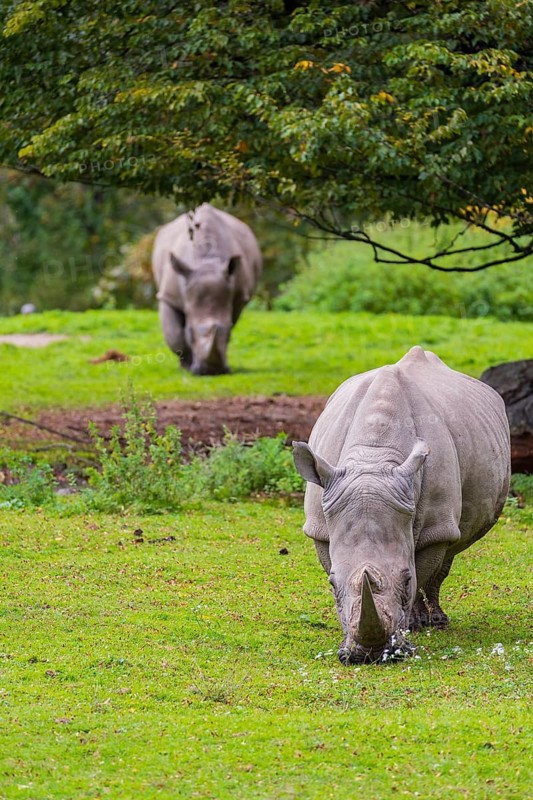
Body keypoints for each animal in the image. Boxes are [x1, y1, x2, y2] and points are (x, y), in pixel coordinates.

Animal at [152, 204, 262, 375]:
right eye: (190, 331)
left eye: (228, 332)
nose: (212, 371)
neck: (207, 265)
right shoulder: (169, 296)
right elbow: (175, 335)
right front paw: (186, 366)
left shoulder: (238, 297)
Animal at [293, 347, 510, 664]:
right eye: (332, 585)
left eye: (405, 581)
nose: (369, 656)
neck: (373, 457)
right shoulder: (320, 526)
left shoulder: (435, 526)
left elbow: (424, 570)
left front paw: (409, 629)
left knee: (449, 550)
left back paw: (434, 622)